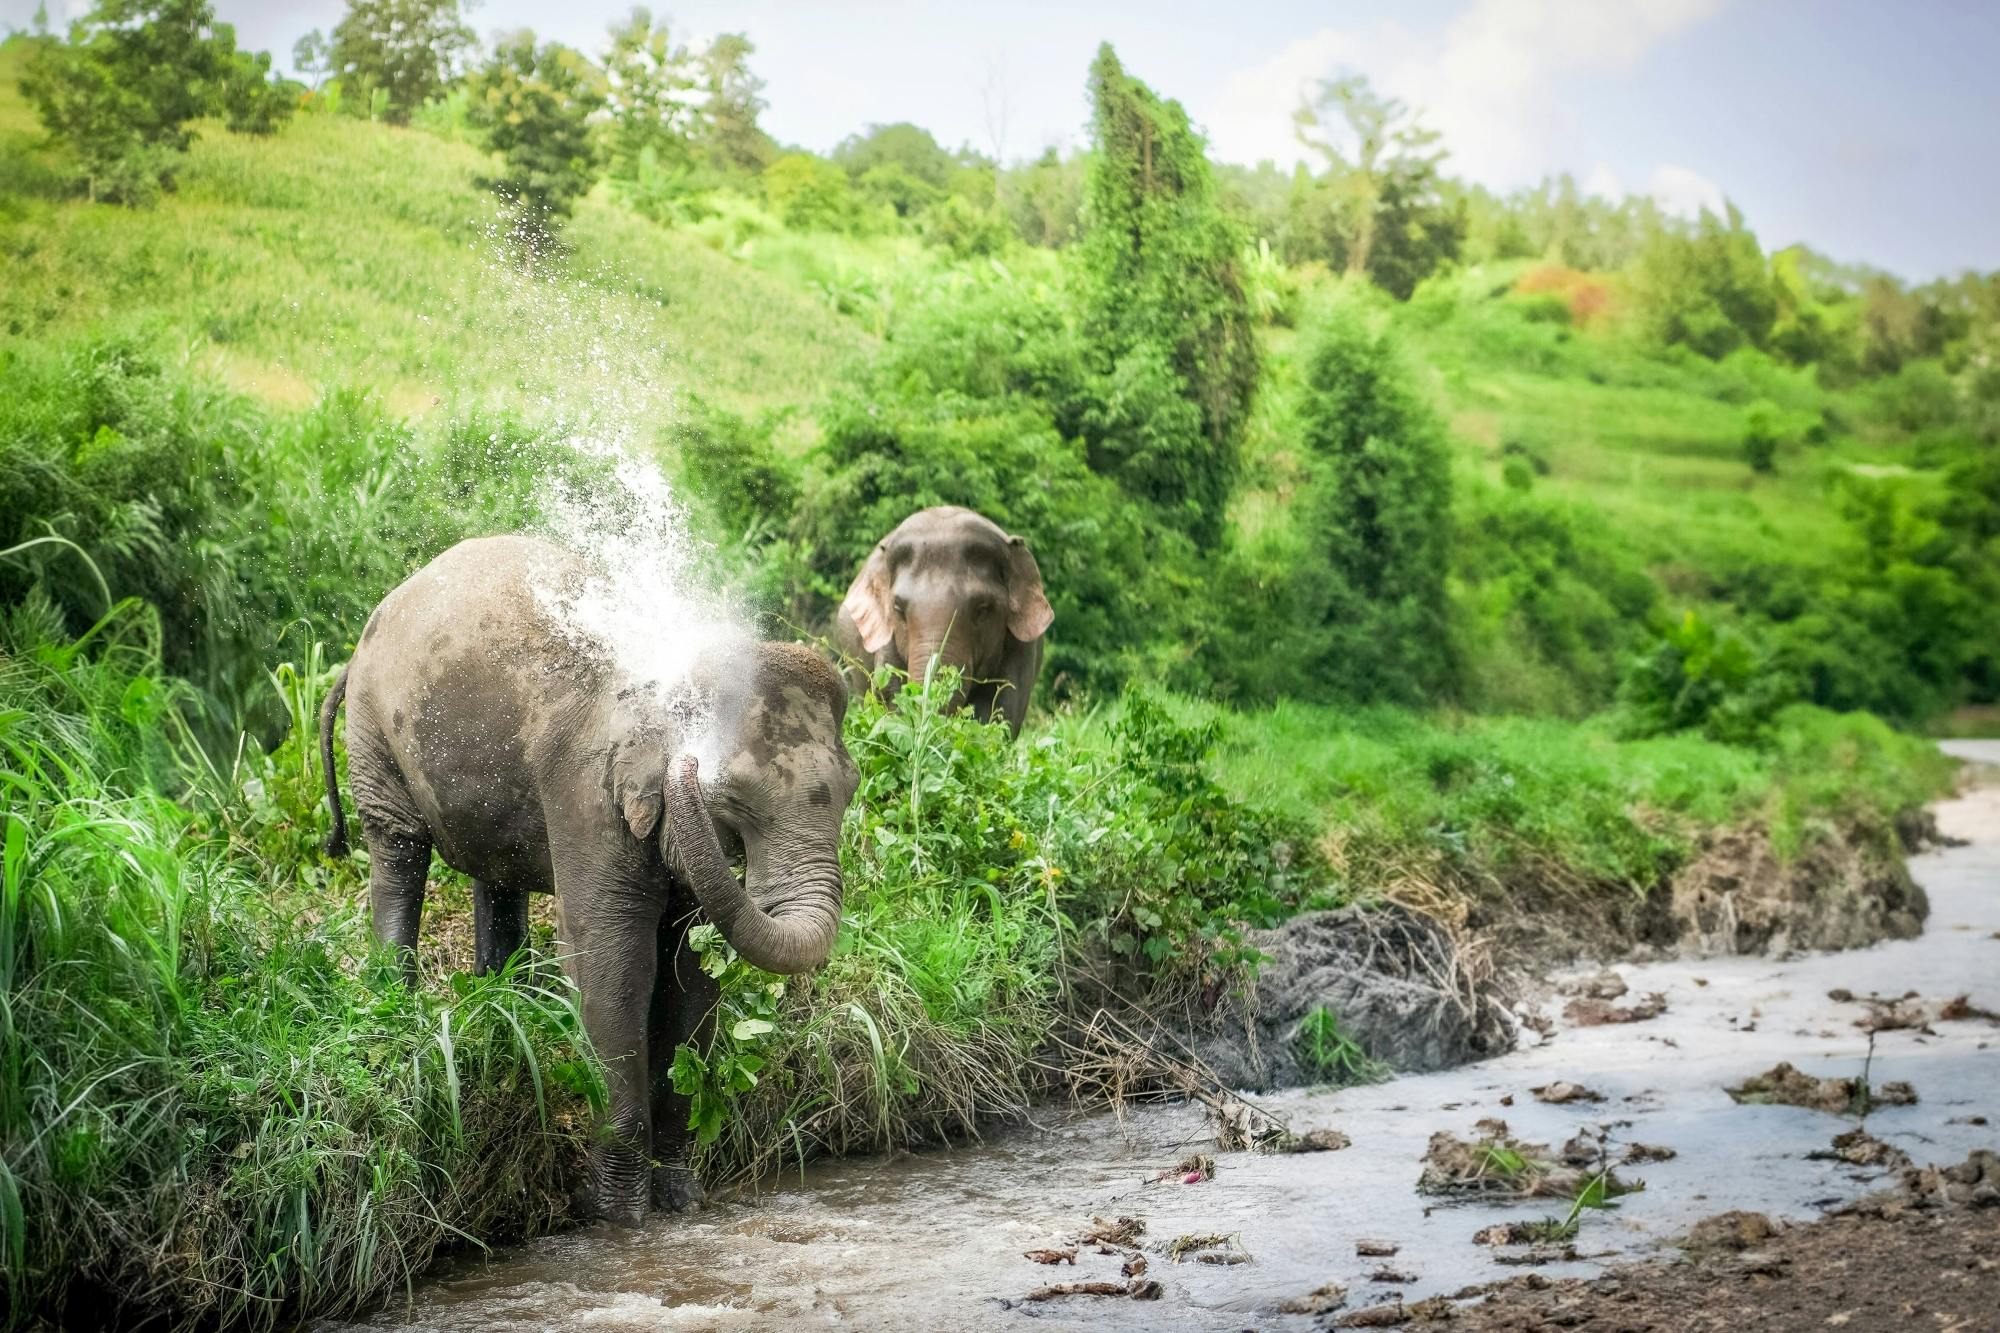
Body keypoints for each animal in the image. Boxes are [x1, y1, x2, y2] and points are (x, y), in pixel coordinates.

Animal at [322, 536, 860, 1216]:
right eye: (732, 795)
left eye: (852, 787)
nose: (689, 769)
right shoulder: (587, 791)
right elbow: (613, 960)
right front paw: (613, 1214)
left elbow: (691, 973)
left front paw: (680, 1200)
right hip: (374, 733)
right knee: (397, 849)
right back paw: (398, 1000)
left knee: (495, 875)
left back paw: (506, 1003)